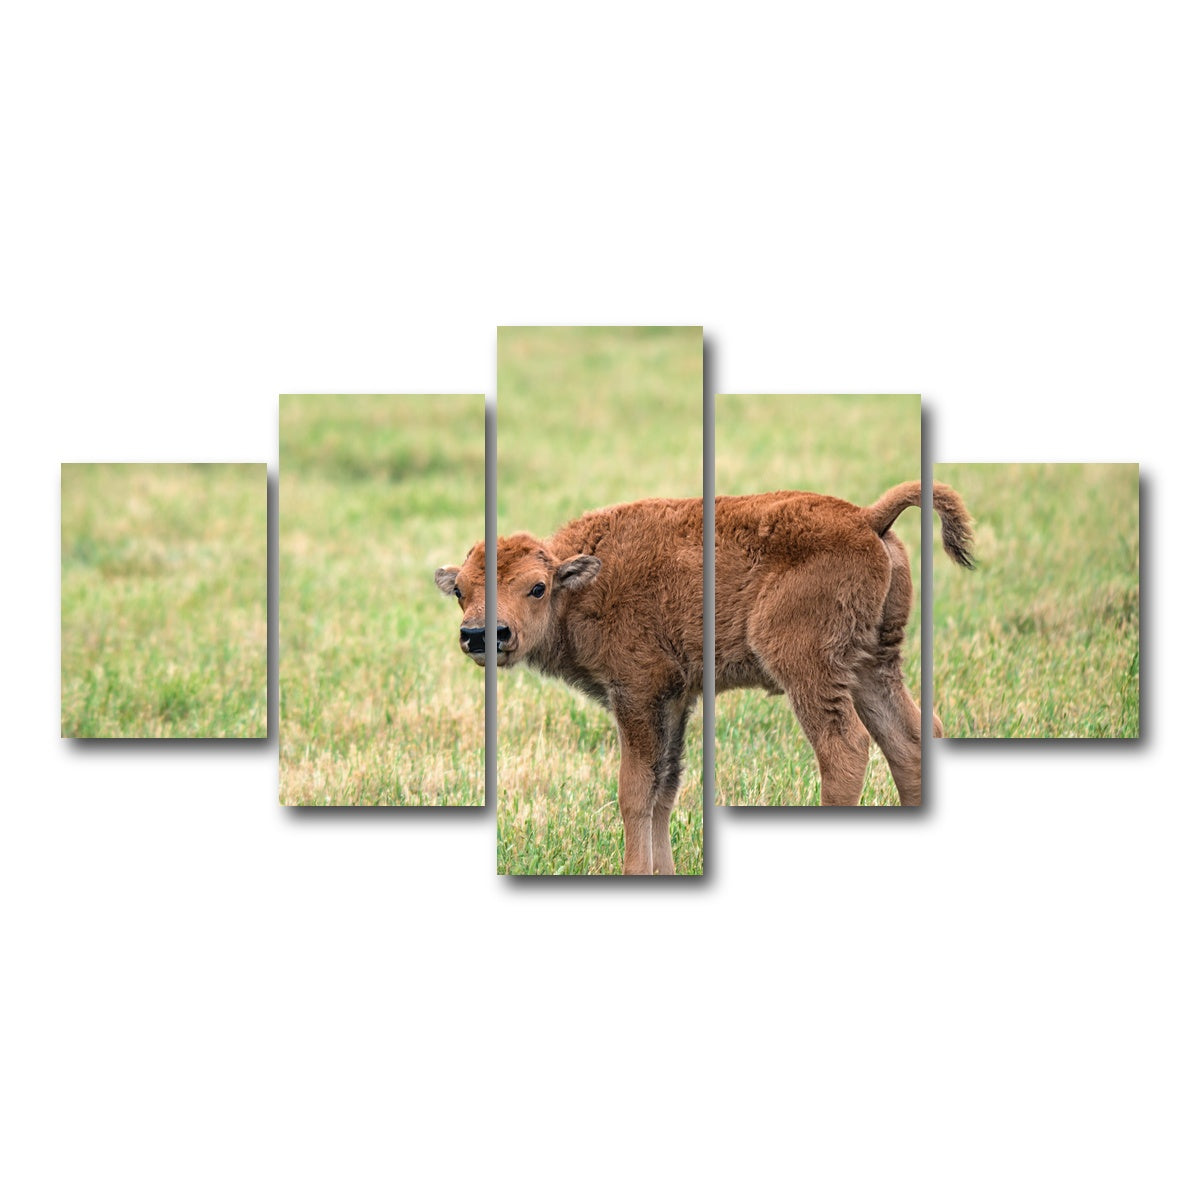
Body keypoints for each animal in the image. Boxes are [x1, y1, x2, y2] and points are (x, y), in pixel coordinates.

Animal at [436, 481, 974, 874]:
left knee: (844, 748)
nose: (482, 635)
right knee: (908, 740)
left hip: (811, 669)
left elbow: (635, 791)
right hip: (872, 664)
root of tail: (866, 517)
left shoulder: (638, 693)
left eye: (537, 587)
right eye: (460, 590)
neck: (584, 583)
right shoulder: (675, 699)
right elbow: (664, 790)